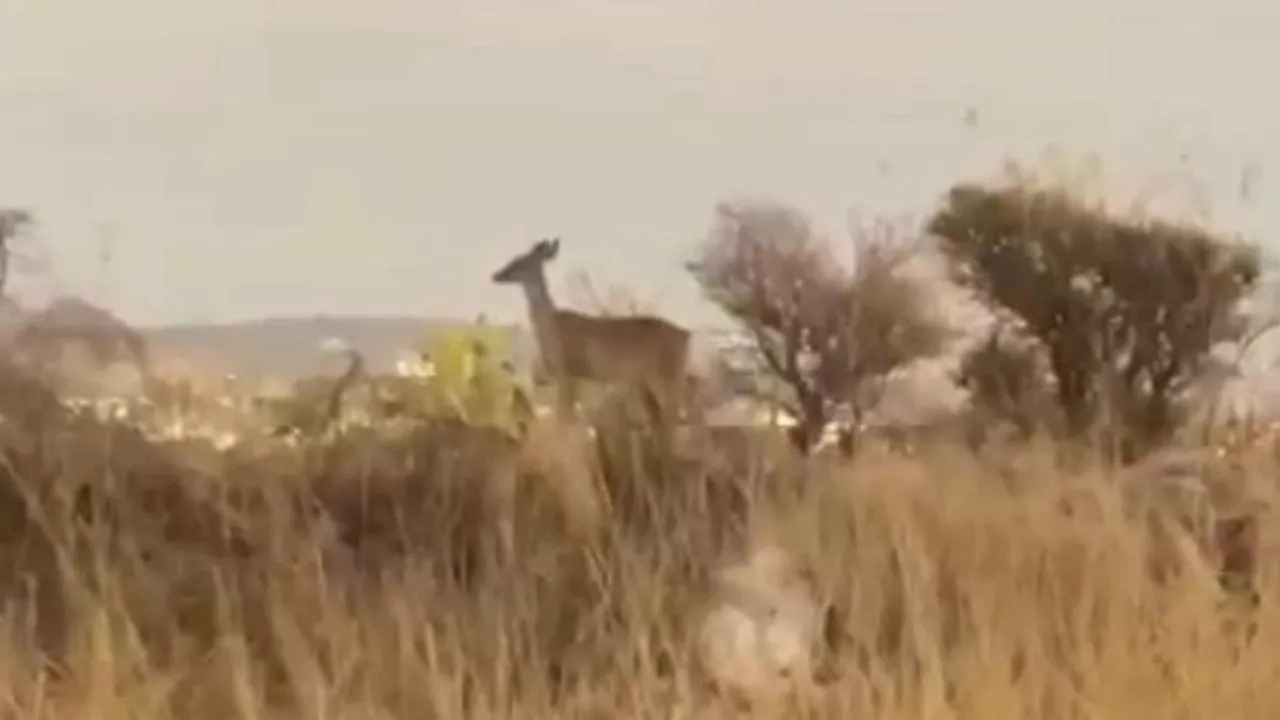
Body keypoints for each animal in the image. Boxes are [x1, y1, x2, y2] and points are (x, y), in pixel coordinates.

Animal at [488, 235, 696, 425]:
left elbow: (566, 420)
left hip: (666, 375)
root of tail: (686, 334)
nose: (496, 275)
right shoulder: (574, 378)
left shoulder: (568, 373)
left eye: (521, 261)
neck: (551, 326)